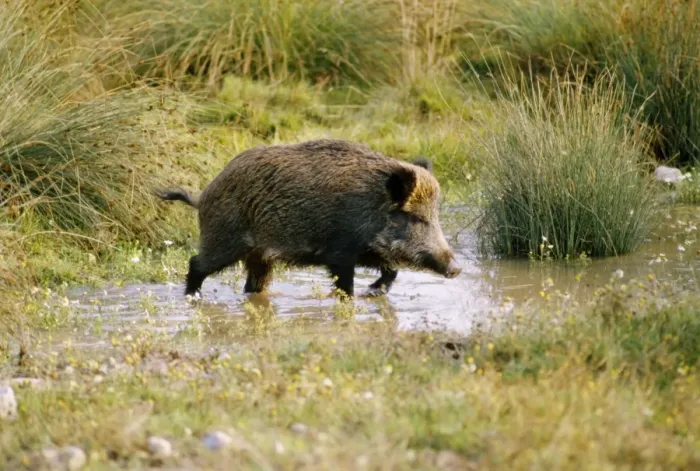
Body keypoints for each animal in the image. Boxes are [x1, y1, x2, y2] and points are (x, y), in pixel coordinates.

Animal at [156, 139, 461, 298]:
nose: (456, 269)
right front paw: (352, 298)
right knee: (197, 263)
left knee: (253, 283)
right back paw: (193, 296)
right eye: (415, 218)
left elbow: (392, 269)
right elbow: (345, 284)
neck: (370, 205)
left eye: (435, 215)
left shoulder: (367, 251)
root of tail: (204, 195)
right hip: (225, 239)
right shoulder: (340, 251)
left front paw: (374, 291)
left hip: (259, 256)